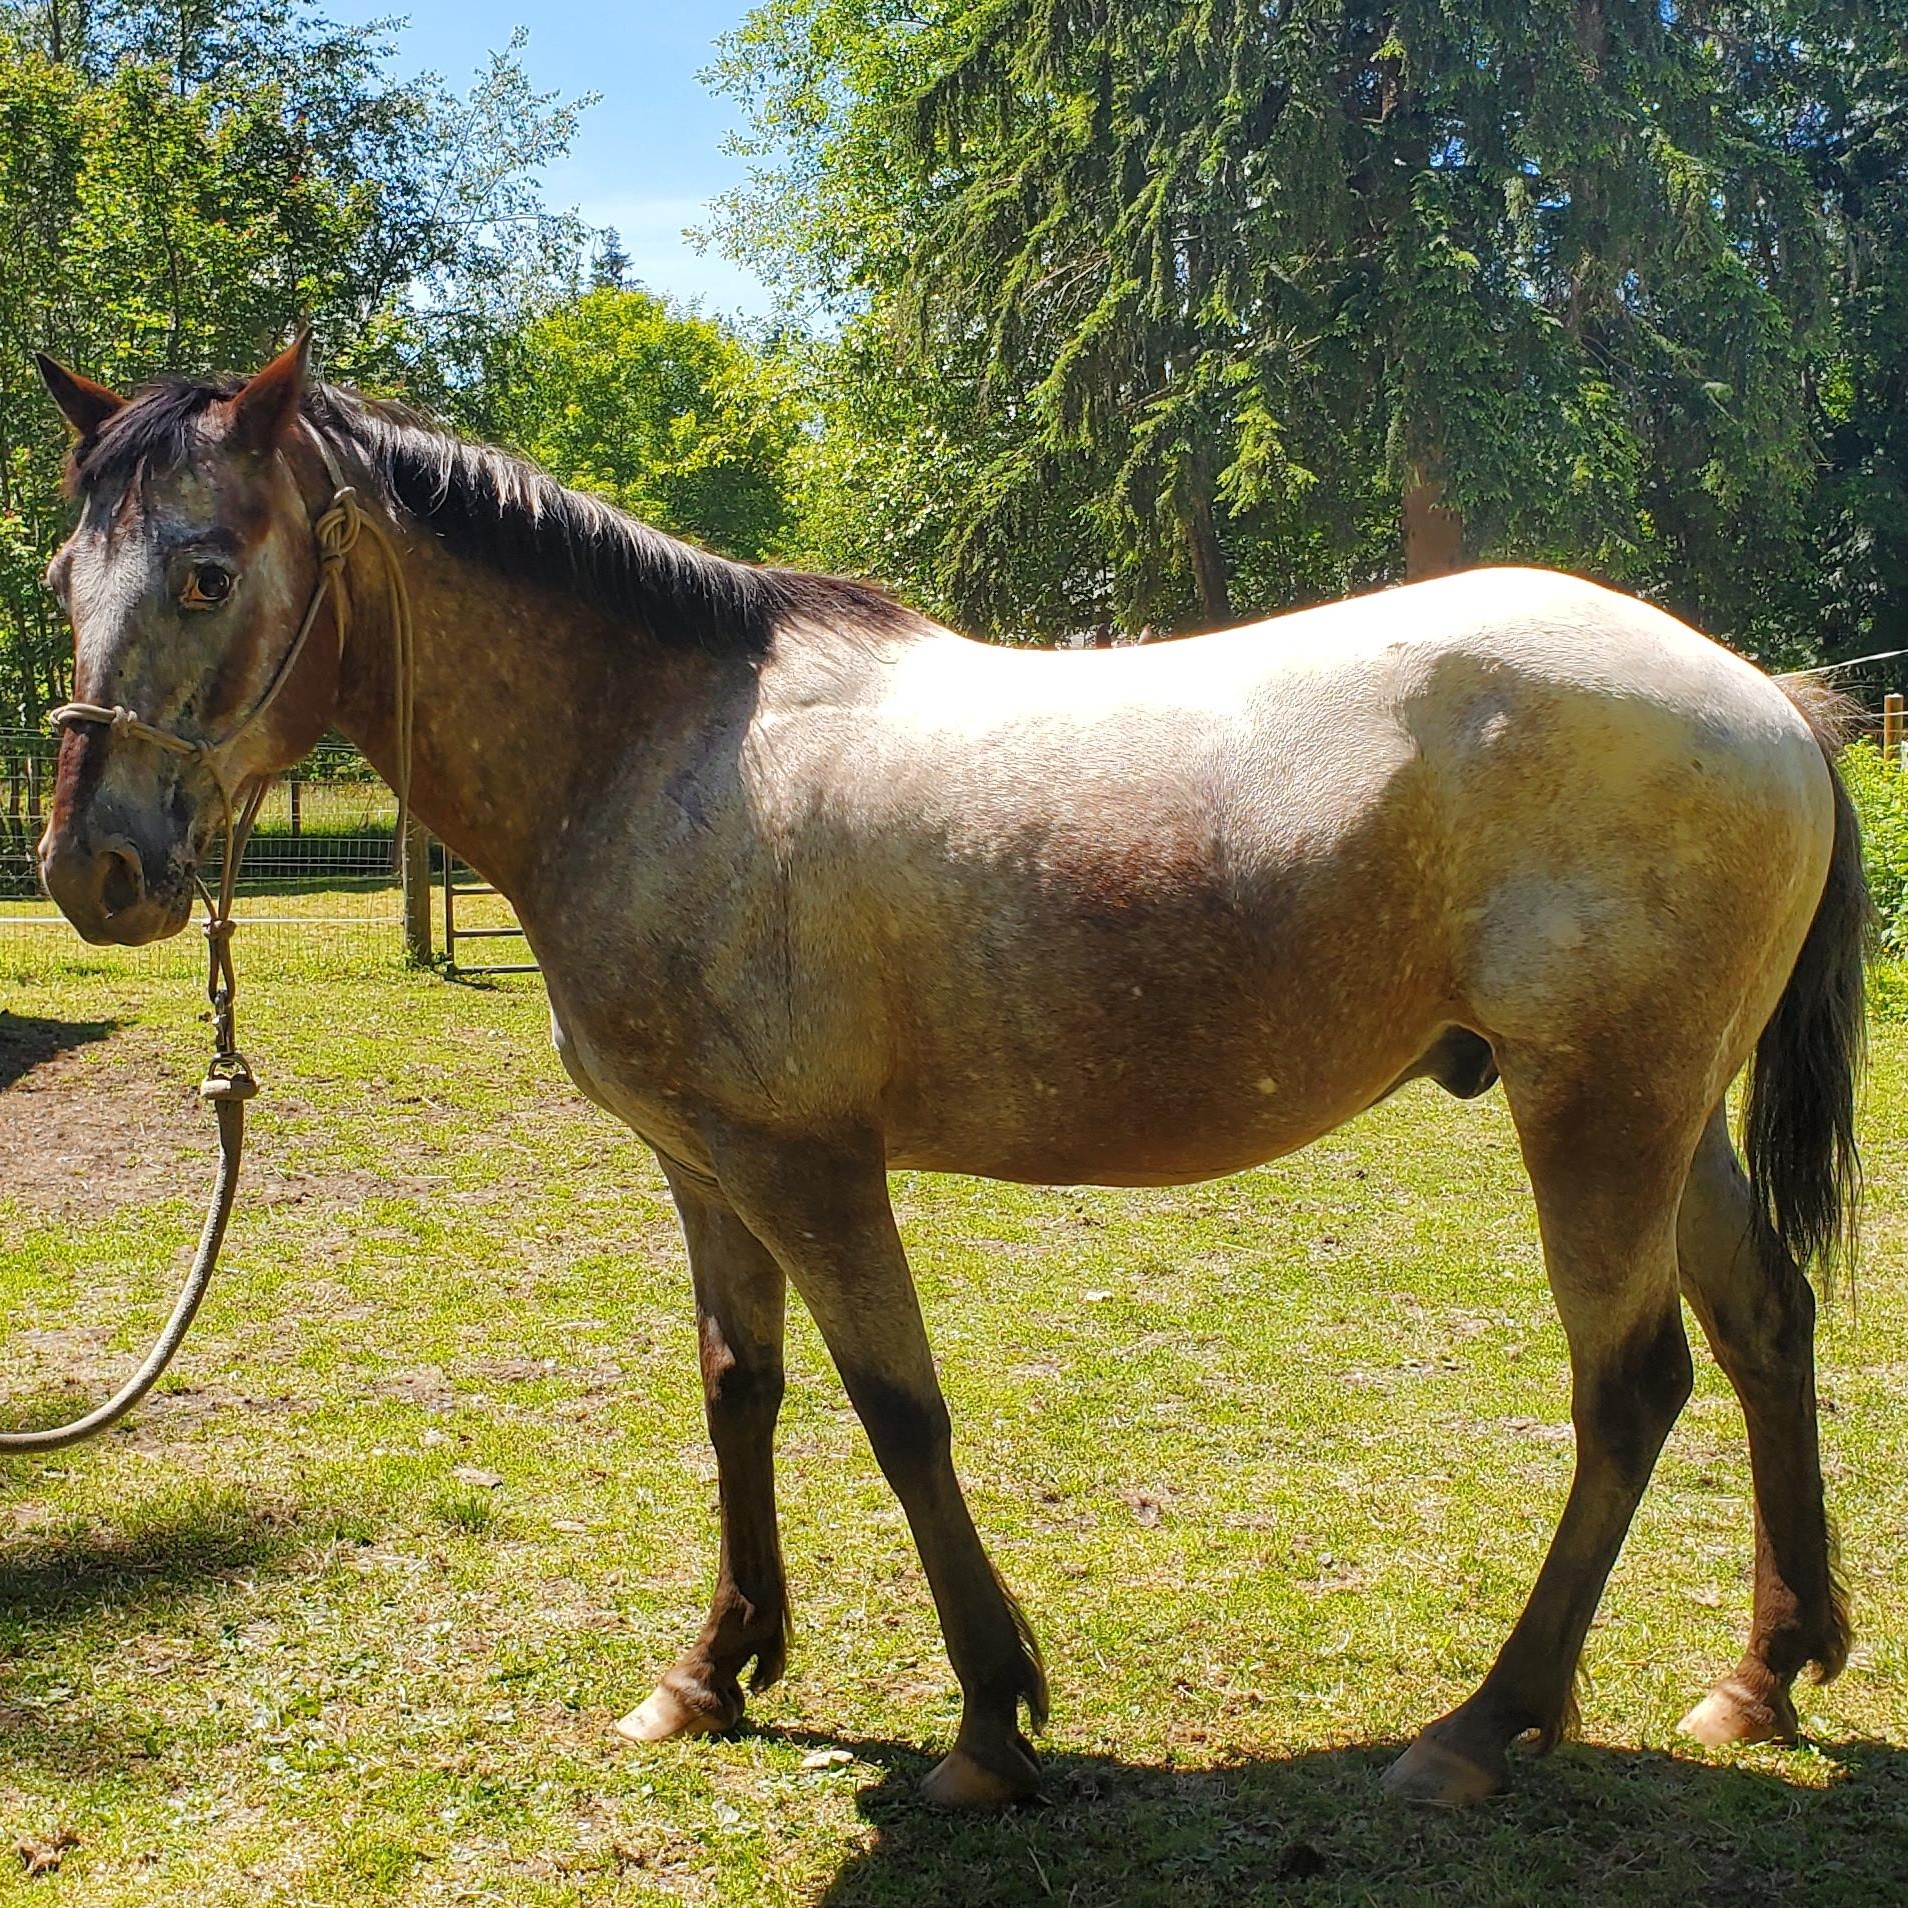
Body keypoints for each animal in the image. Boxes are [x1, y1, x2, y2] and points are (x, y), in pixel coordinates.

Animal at [32, 339, 1868, 1810]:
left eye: (205, 573)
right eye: (65, 574)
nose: (92, 869)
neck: (662, 749)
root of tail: (1767, 702)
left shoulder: (809, 1165)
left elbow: (898, 1411)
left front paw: (988, 1721)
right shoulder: (700, 1163)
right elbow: (739, 1390)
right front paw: (711, 1672)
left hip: (1597, 1110)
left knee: (1630, 1386)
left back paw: (1484, 1724)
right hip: (1670, 1114)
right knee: (1762, 1324)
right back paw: (1762, 1674)